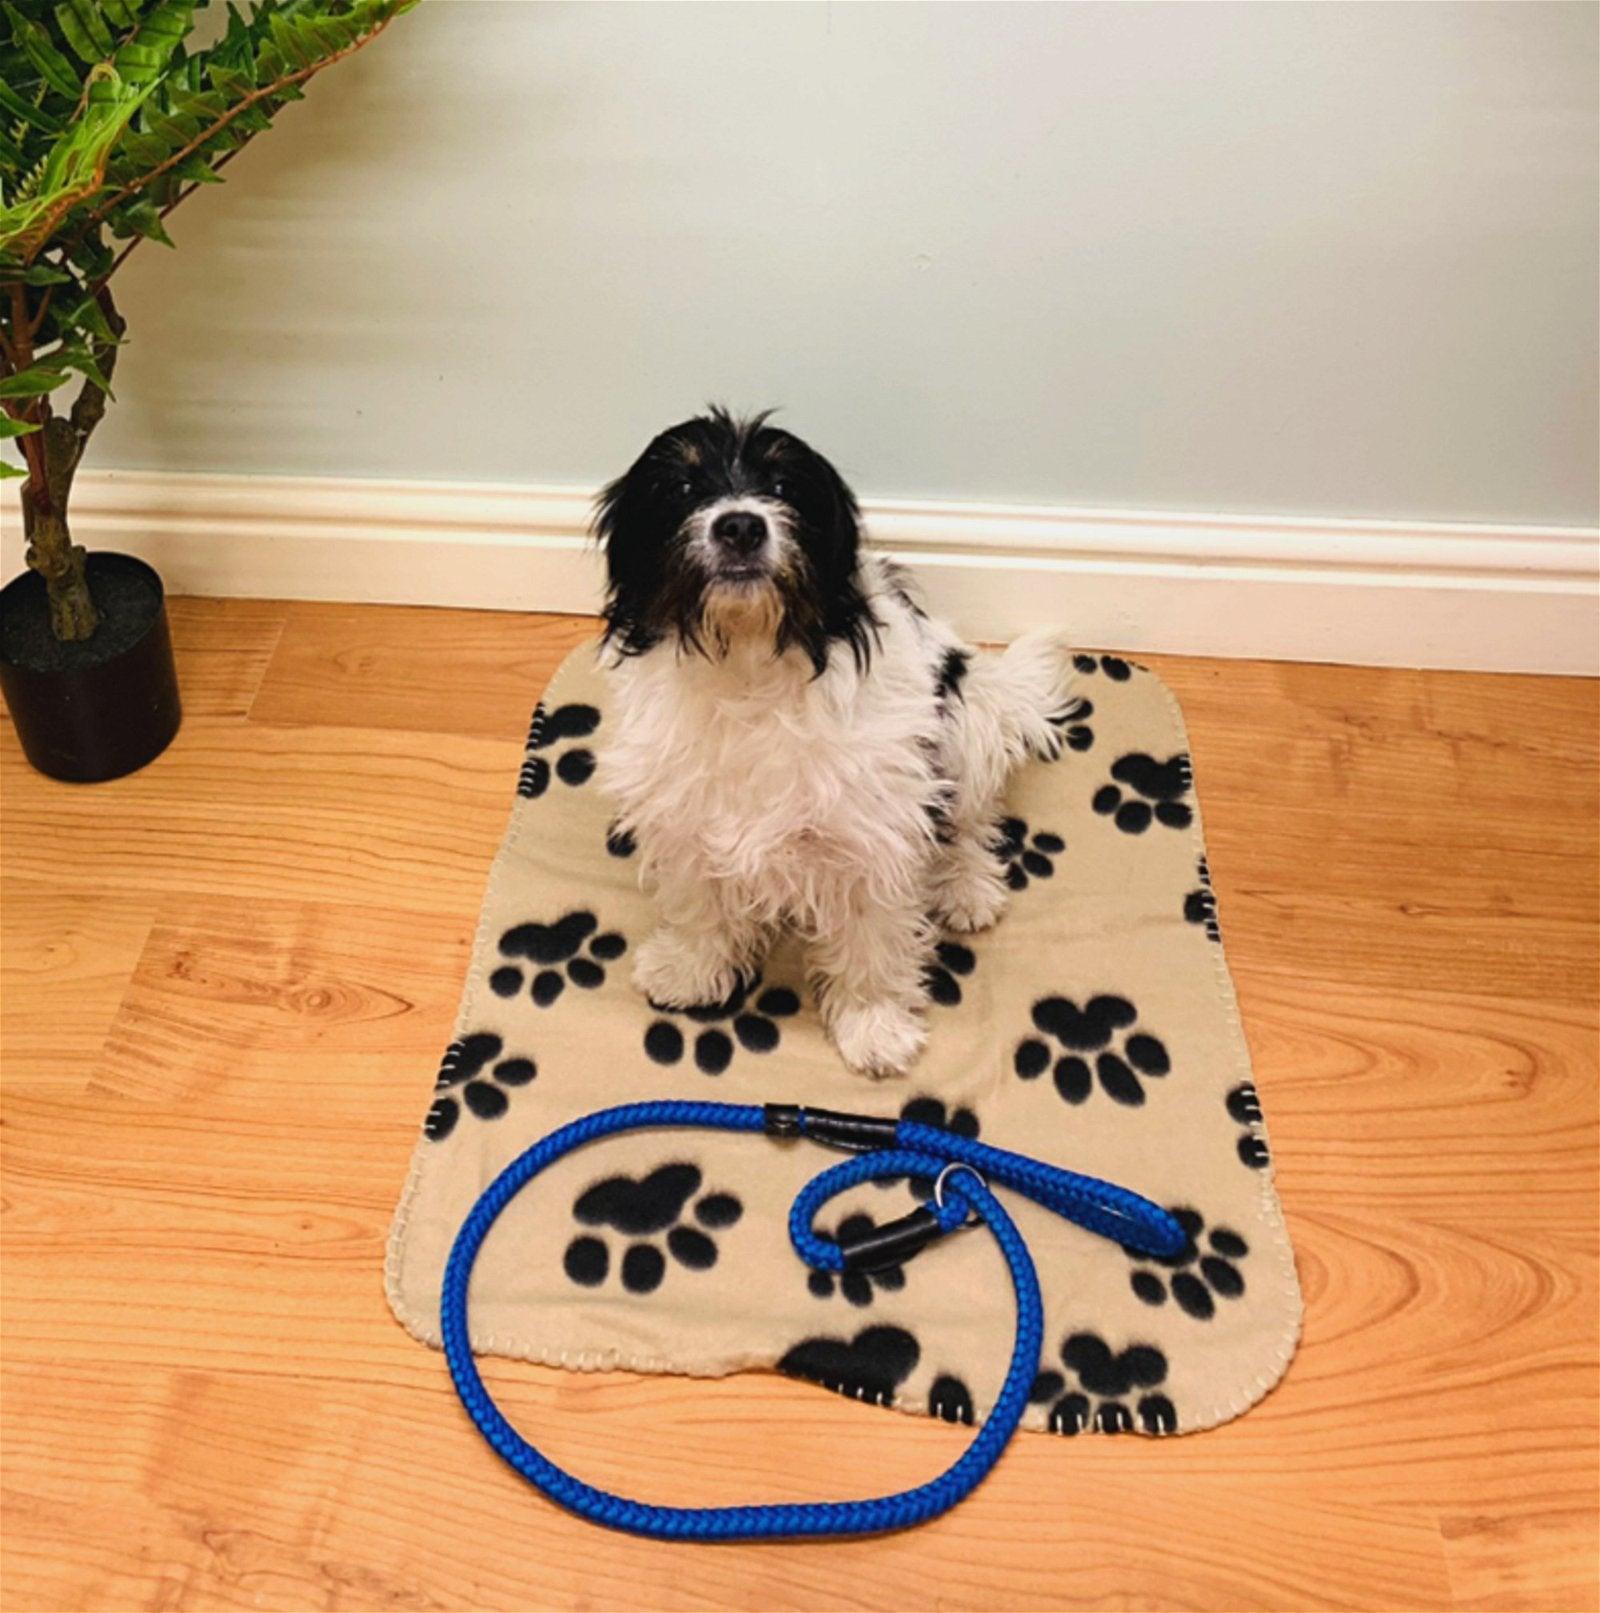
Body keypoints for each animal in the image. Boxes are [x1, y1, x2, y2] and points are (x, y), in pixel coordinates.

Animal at [593, 409, 1083, 1077]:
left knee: (968, 823)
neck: (748, 662)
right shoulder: (685, 808)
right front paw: (691, 968)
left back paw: (965, 887)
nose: (740, 525)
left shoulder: (870, 830)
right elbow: (701, 899)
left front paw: (874, 1025)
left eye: (783, 485)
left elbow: (871, 935)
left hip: (965, 719)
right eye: (685, 487)